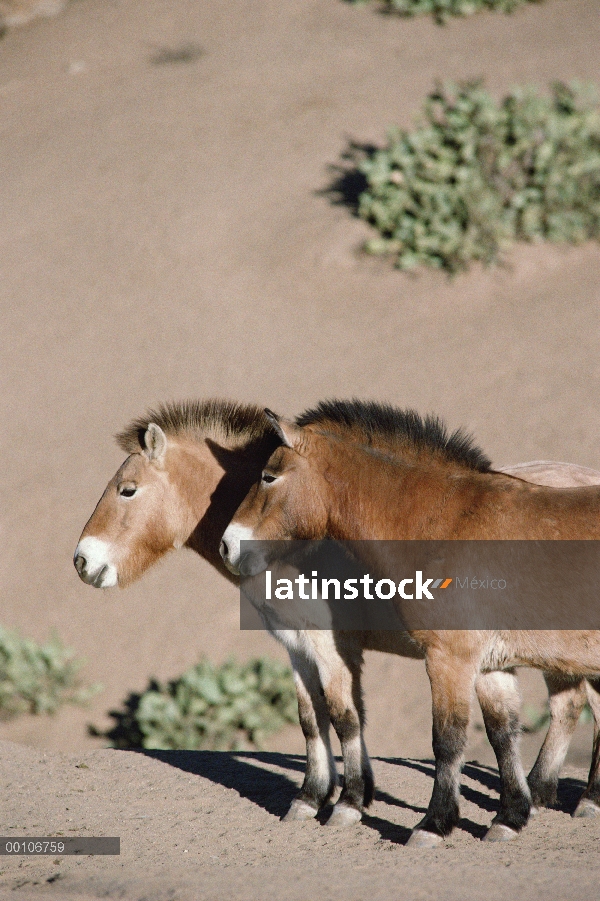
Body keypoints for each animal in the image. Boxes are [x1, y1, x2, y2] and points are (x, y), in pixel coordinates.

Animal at [220, 408, 600, 844]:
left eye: (269, 476)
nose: (227, 546)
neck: (449, 522)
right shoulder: (490, 665)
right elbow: (502, 734)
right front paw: (510, 817)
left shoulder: (448, 658)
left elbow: (447, 740)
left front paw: (433, 824)